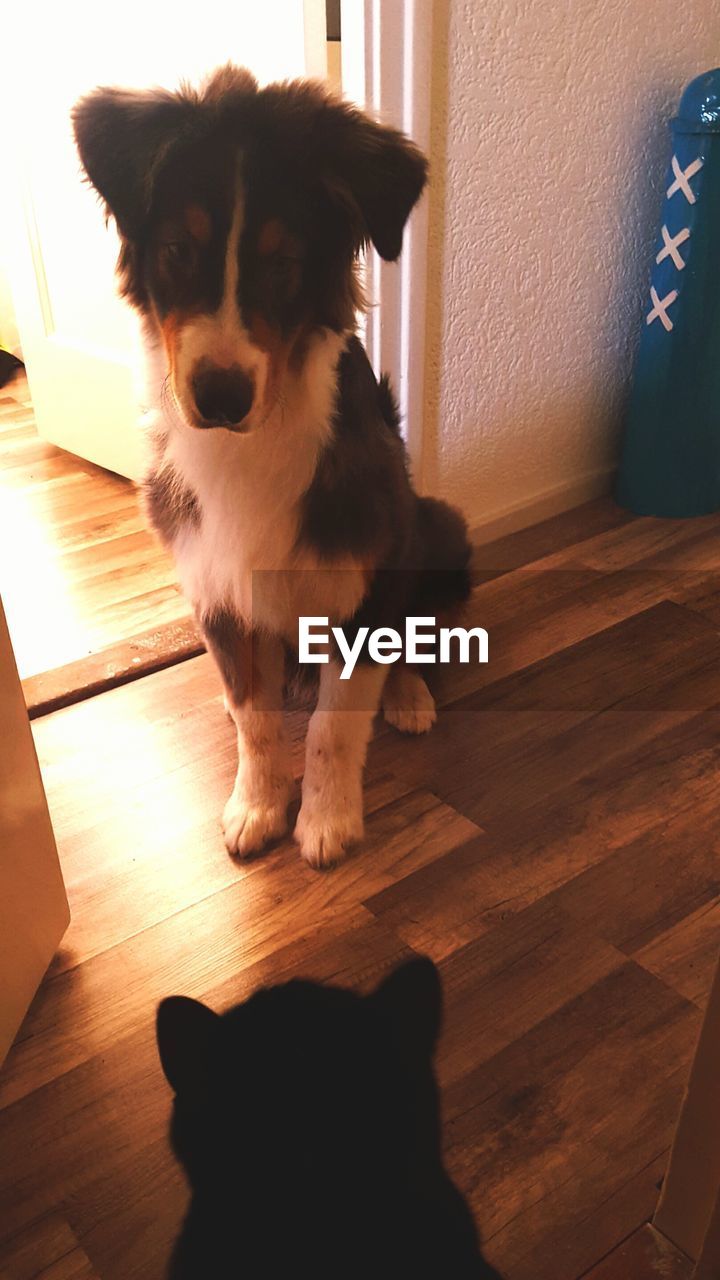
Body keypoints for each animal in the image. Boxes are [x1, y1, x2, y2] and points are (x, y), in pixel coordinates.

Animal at [70, 67, 468, 870]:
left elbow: (334, 724)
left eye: (284, 265)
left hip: (435, 526)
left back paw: (408, 695)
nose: (220, 397)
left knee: (413, 630)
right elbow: (256, 718)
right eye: (177, 249)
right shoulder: (216, 588)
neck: (250, 443)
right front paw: (256, 805)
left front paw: (327, 821)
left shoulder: (363, 574)